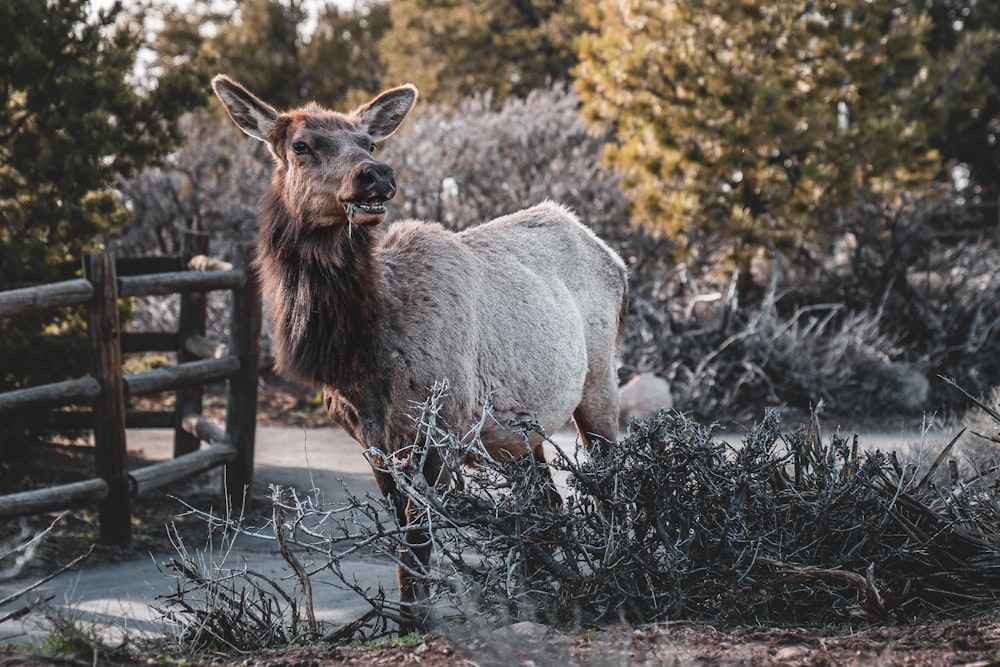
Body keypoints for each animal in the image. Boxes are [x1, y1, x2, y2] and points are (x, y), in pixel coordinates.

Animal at [214, 75, 628, 628]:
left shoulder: (434, 425)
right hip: (520, 432)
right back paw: (540, 594)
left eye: (368, 143)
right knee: (544, 500)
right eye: (301, 145)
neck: (361, 356)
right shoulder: (372, 439)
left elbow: (418, 539)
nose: (376, 175)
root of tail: (614, 256)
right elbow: (399, 536)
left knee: (608, 485)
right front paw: (407, 615)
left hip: (599, 382)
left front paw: (419, 619)